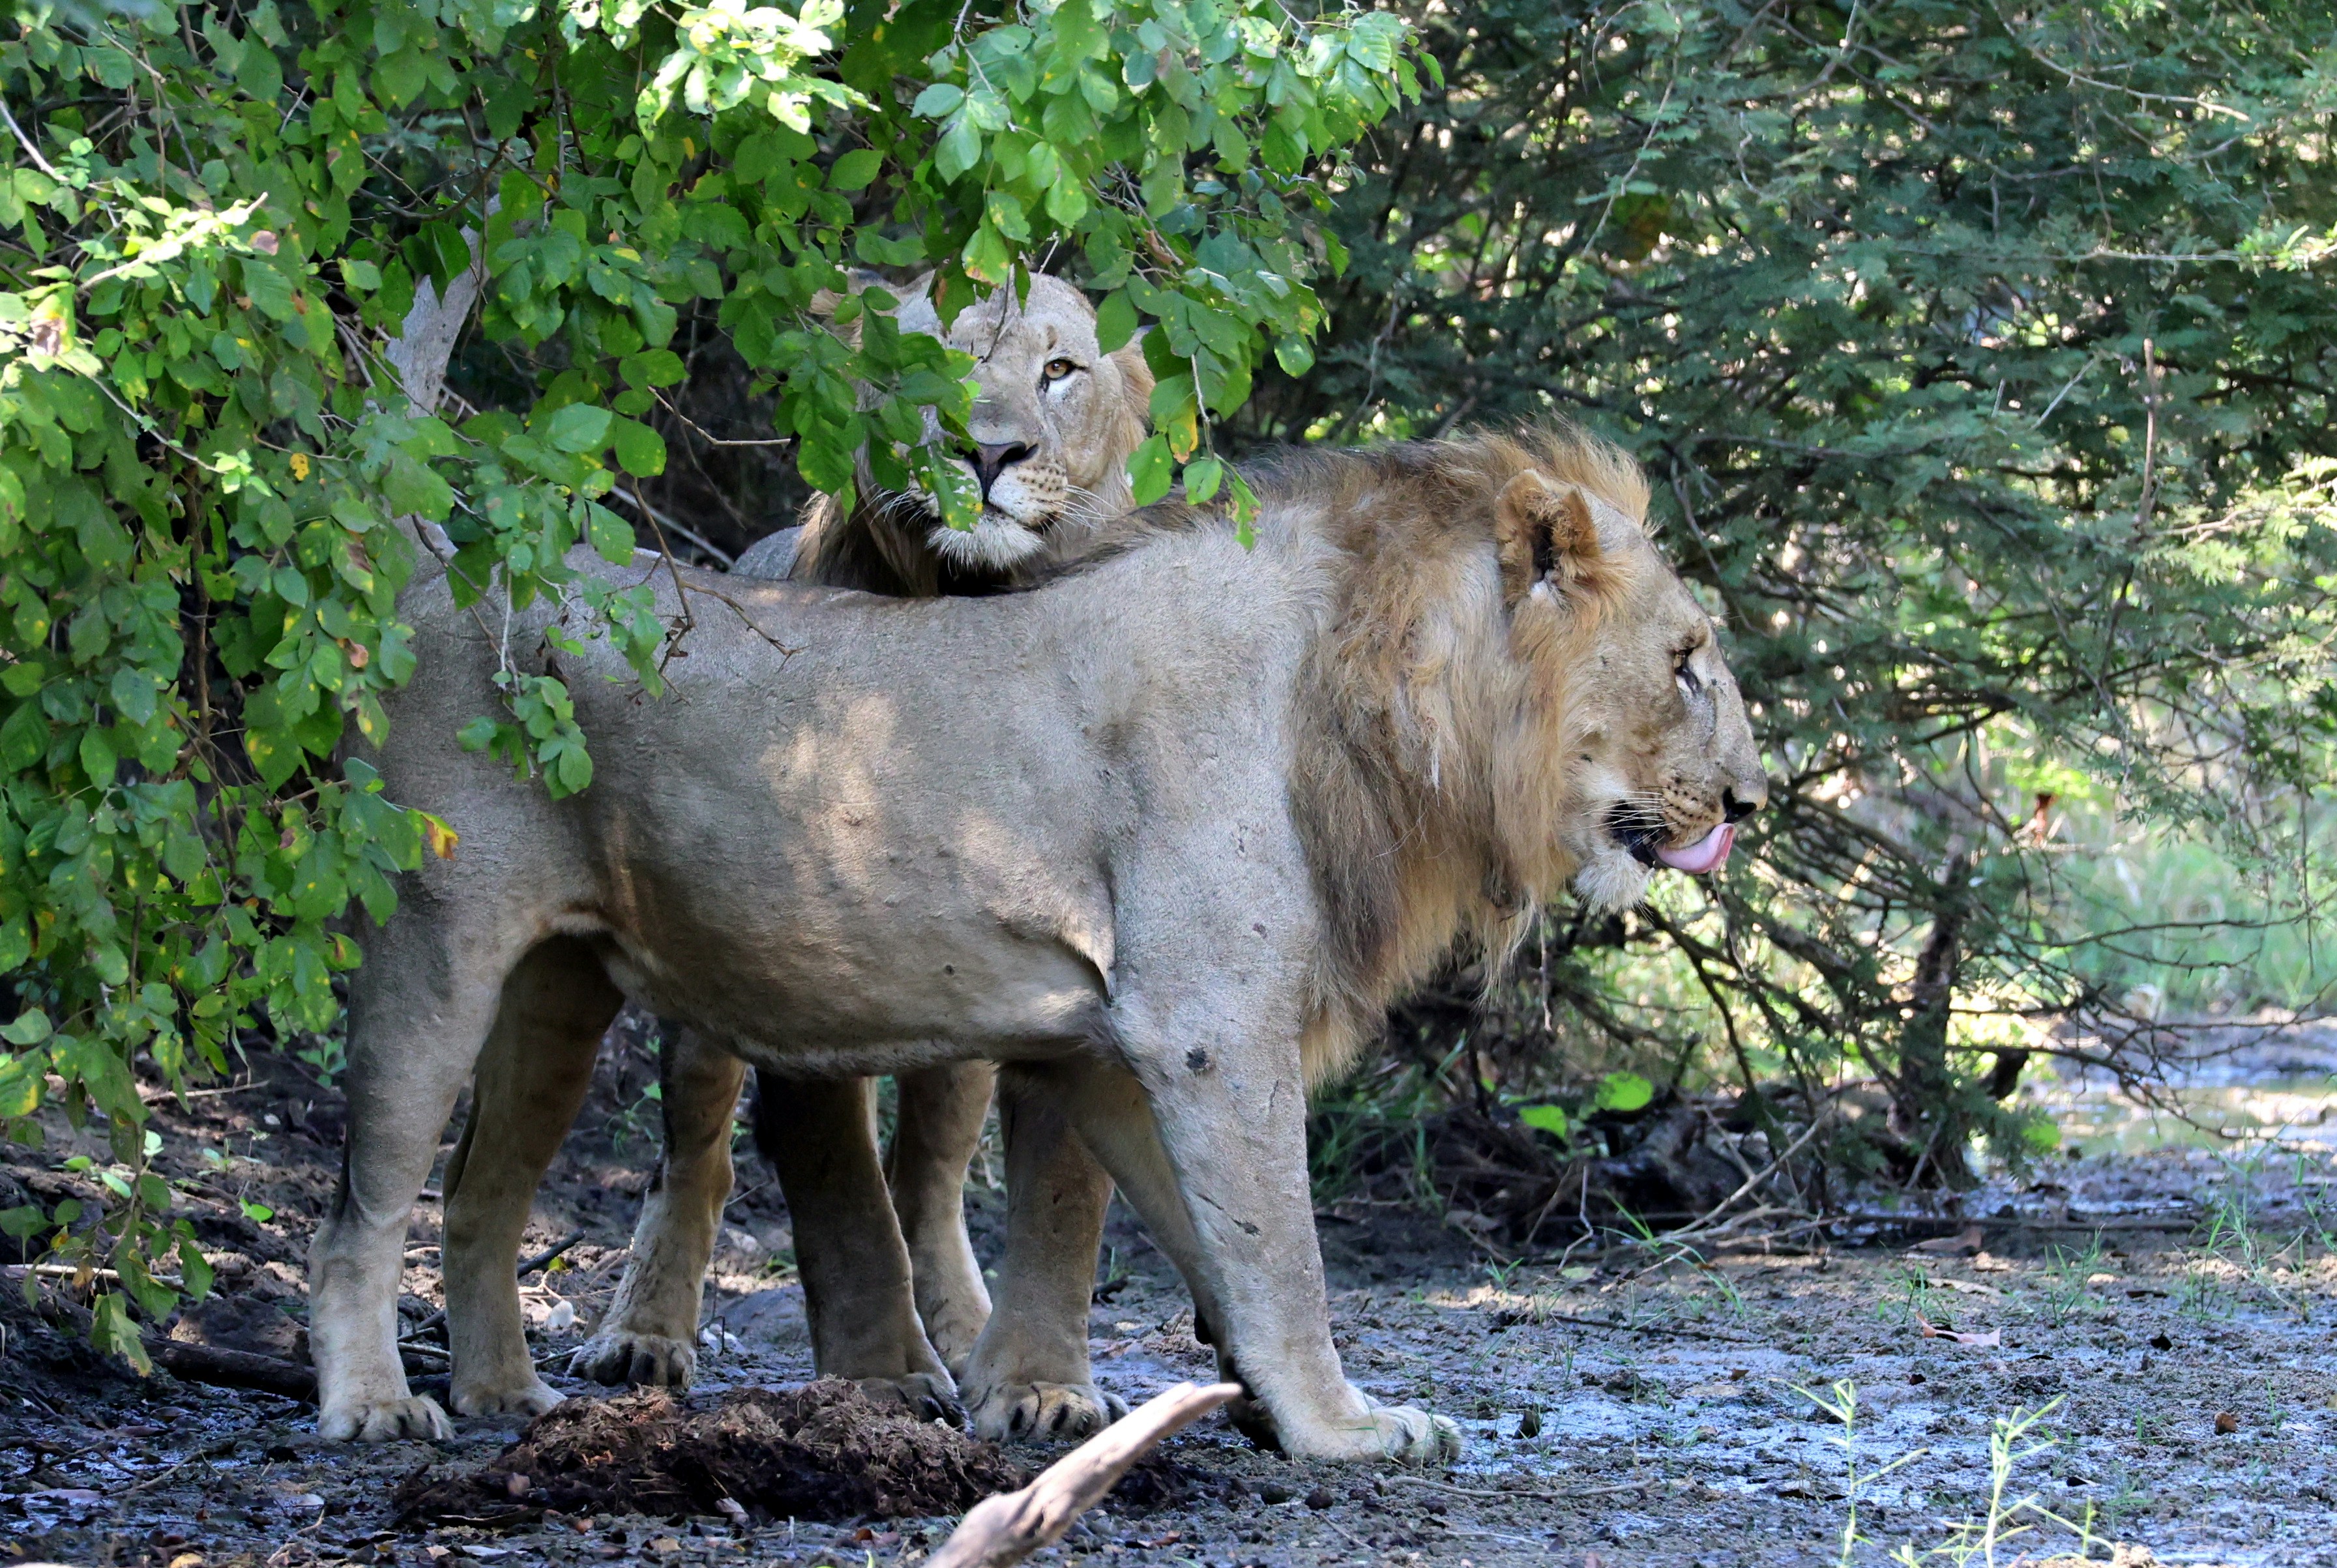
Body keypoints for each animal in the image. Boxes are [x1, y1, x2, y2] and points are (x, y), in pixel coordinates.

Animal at [309, 429, 1767, 1460]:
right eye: (1687, 660)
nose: (1749, 802)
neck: (1384, 698)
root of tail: (435, 574)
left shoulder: (1125, 1047)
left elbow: (1209, 1243)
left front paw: (1261, 1409)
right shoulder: (1209, 1027)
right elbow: (1284, 1253)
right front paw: (1346, 1428)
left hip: (556, 989)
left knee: (485, 1189)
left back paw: (502, 1393)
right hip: (435, 953)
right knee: (366, 1203)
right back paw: (375, 1406)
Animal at [432, 272, 1153, 1440]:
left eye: (1060, 370)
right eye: (928, 364)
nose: (986, 452)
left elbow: (1058, 1189)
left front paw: (1041, 1387)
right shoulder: (799, 937)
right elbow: (835, 1182)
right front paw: (882, 1380)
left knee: (931, 1176)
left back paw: (964, 1328)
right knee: (696, 1157)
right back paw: (643, 1334)